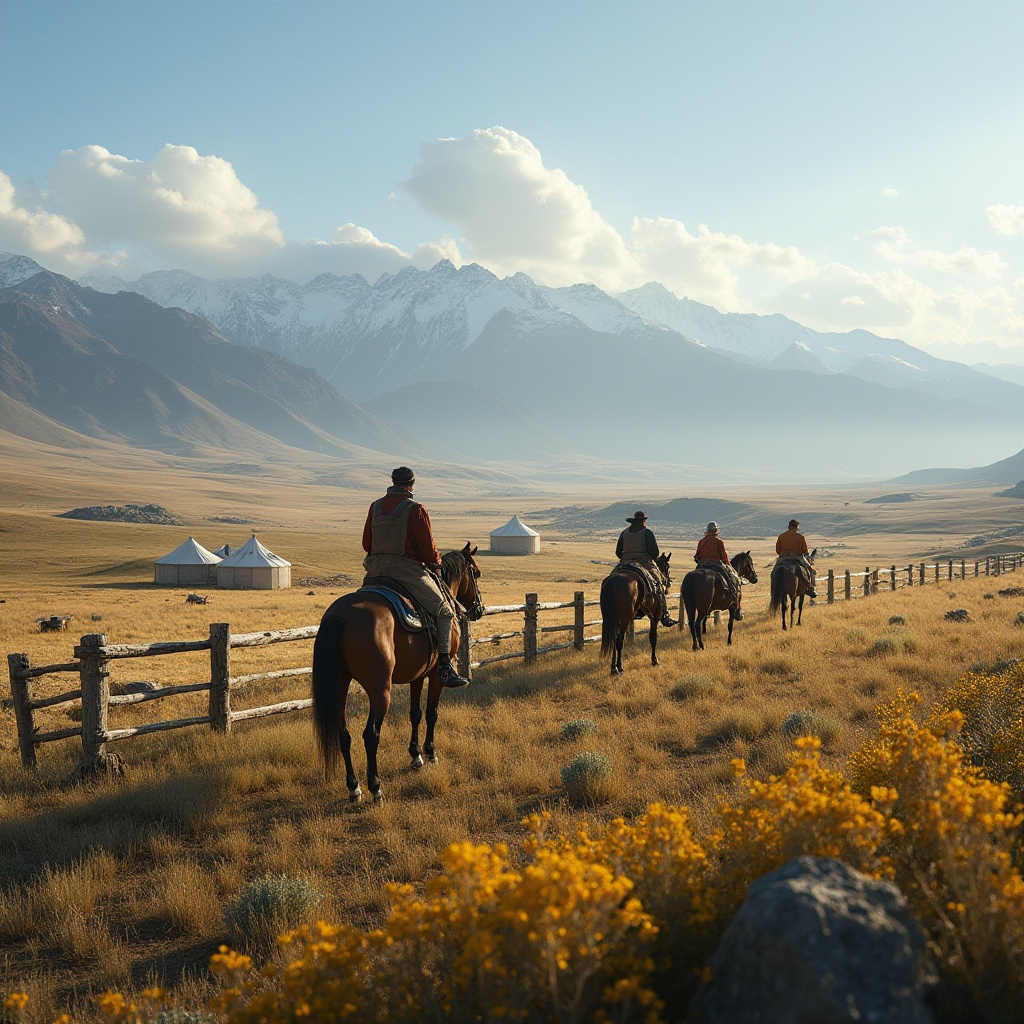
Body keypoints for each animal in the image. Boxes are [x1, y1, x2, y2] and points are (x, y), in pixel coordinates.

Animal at [311, 548, 483, 802]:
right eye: (477, 574)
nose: (479, 609)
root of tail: (340, 615)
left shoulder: (418, 675)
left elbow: (415, 714)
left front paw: (415, 756)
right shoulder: (435, 675)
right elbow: (431, 713)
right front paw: (430, 753)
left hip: (339, 687)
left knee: (344, 735)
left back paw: (354, 787)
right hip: (380, 691)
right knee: (370, 735)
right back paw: (376, 788)